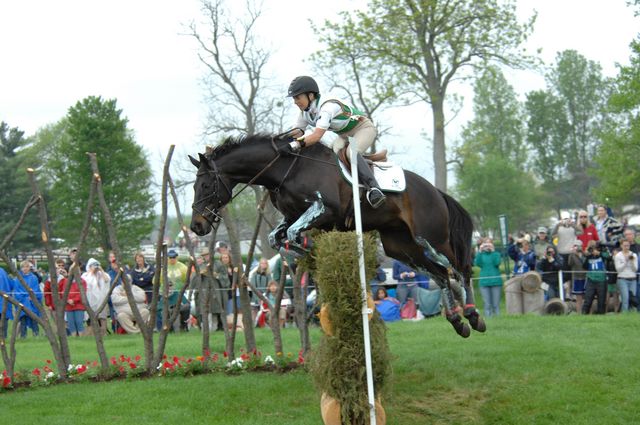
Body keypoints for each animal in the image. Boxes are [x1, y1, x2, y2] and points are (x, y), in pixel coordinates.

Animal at [190, 134, 484, 336]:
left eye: (205, 185)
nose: (196, 226)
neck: (287, 168)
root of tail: (435, 191)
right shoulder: (291, 217)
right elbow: (278, 238)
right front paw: (306, 254)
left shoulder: (323, 209)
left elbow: (293, 234)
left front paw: (307, 252)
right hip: (401, 247)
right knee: (441, 274)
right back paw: (457, 321)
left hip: (431, 239)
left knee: (459, 269)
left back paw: (473, 316)